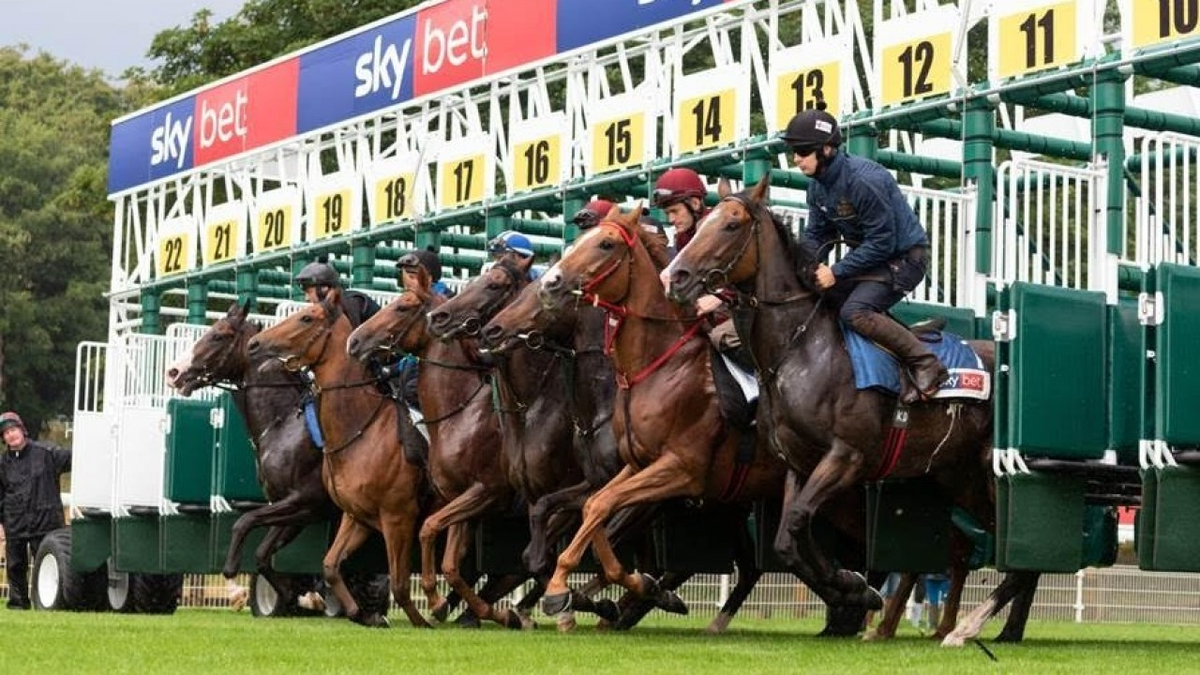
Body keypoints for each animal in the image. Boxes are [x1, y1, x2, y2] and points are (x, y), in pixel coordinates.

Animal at [243, 289, 427, 624]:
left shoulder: (397, 515)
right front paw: (358, 612)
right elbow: (327, 564)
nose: (255, 344)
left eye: (306, 317)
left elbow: (401, 580)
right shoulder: (352, 514)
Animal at [667, 174, 1041, 638]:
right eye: (700, 224)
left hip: (991, 473)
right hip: (961, 477)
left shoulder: (846, 457)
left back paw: (965, 628)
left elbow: (798, 523)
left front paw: (852, 589)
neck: (801, 350)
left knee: (1020, 556)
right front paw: (851, 589)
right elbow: (787, 541)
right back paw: (987, 630)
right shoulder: (799, 463)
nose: (677, 277)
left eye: (730, 225)